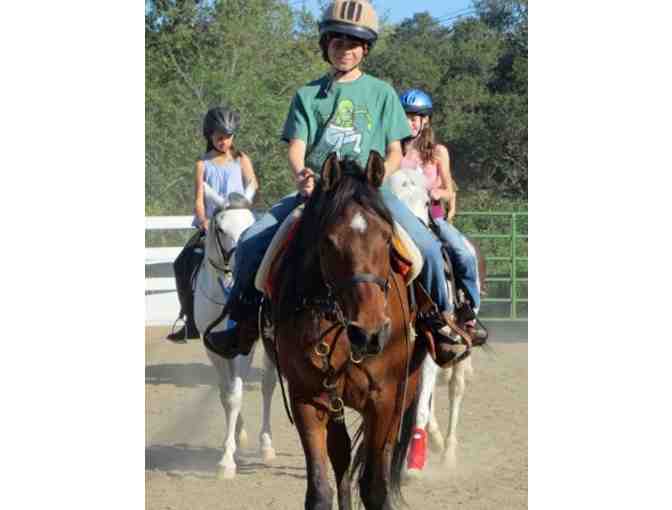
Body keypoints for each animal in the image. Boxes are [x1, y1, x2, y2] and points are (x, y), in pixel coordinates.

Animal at [193, 185, 276, 480]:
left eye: (251, 224)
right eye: (220, 228)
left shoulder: (244, 347)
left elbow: (236, 395)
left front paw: (226, 461)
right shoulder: (213, 348)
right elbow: (226, 395)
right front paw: (232, 443)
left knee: (267, 385)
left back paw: (267, 446)